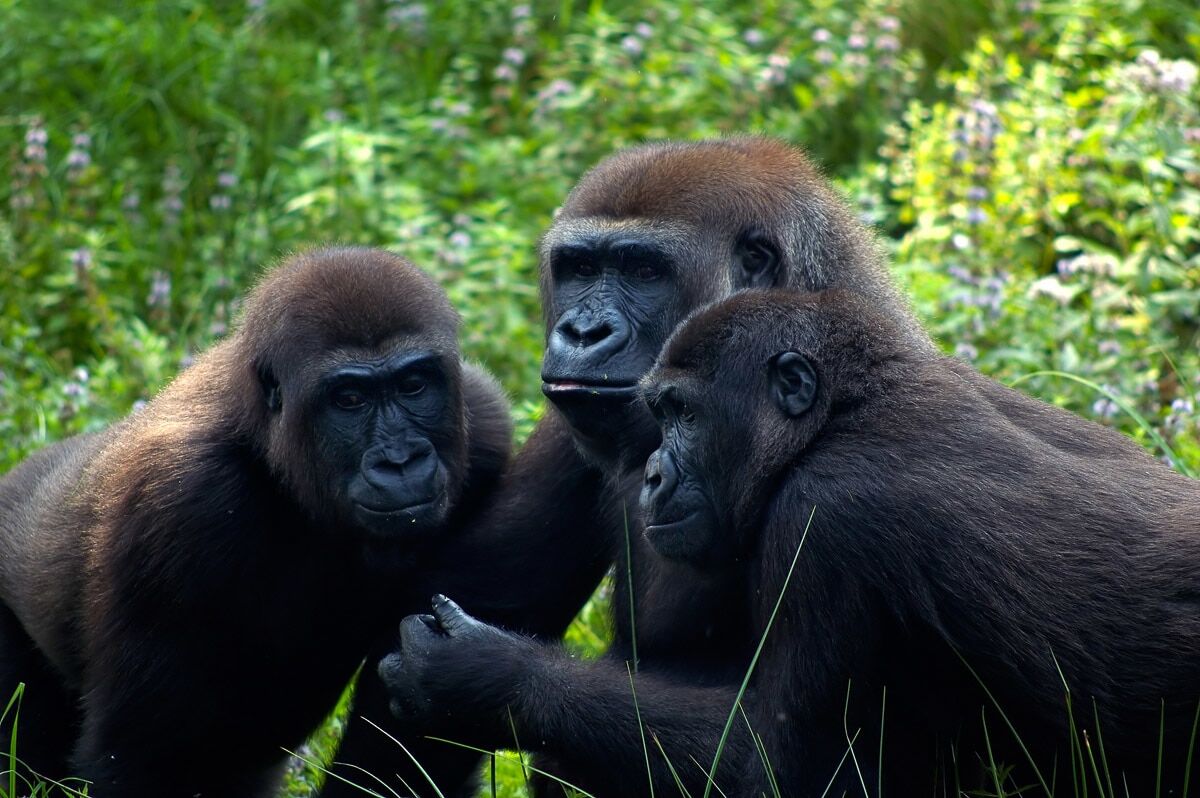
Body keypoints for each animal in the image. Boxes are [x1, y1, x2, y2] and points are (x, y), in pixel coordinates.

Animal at [0, 246, 510, 797]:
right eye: (349, 399)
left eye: (414, 386)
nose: (399, 462)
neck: (269, 448)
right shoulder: (175, 506)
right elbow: (142, 761)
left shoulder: (484, 424)